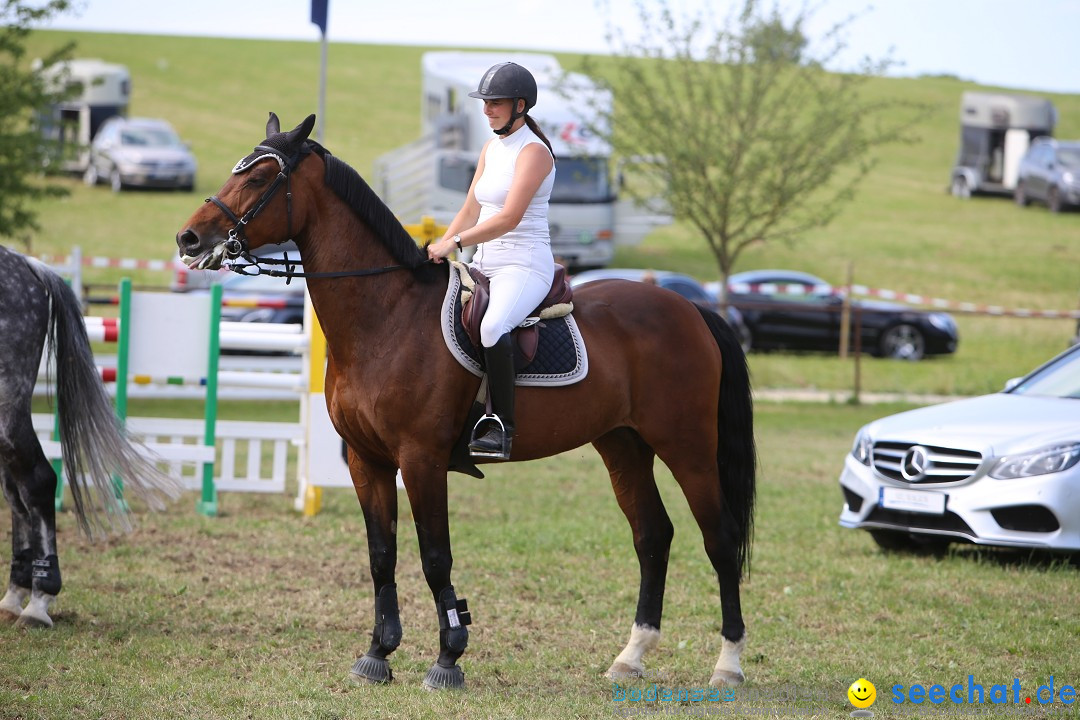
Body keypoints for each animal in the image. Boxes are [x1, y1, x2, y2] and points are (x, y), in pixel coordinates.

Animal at [0, 245, 181, 626]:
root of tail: (27, 264)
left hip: (7, 407)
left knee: (36, 482)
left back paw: (38, 603)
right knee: (16, 492)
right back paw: (14, 597)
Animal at [172, 113, 756, 690]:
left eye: (258, 178)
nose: (189, 238)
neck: (386, 314)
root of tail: (690, 308)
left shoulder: (420, 459)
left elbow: (435, 557)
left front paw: (448, 658)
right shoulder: (367, 460)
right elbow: (381, 556)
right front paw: (377, 654)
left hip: (687, 446)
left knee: (719, 538)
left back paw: (727, 665)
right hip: (623, 443)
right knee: (652, 535)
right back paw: (630, 657)